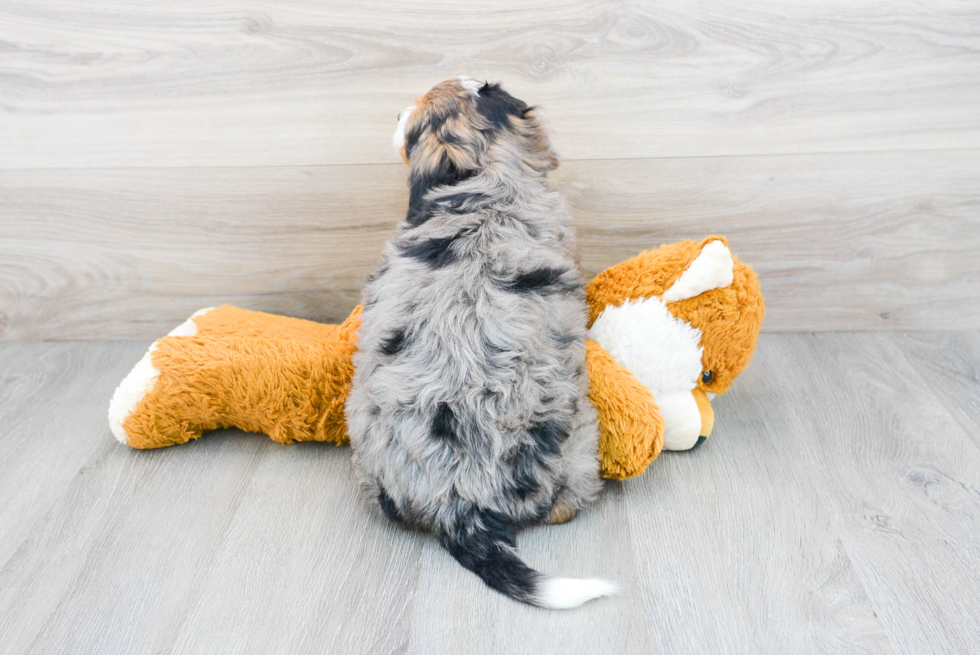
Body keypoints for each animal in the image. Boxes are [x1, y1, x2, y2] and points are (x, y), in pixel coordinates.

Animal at [348, 78, 616, 608]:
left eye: (412, 121)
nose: (394, 113)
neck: (486, 183)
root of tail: (461, 504)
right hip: (581, 445)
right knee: (564, 507)